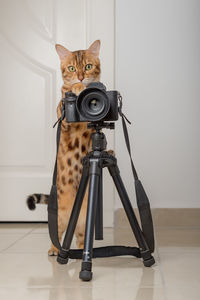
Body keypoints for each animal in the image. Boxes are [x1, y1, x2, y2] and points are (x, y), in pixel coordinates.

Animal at [27, 40, 101, 255]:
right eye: (71, 68)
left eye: (88, 66)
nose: (81, 77)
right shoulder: (64, 117)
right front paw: (76, 86)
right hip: (59, 215)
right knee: (57, 234)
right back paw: (55, 249)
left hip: (84, 219)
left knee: (80, 237)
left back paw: (82, 251)